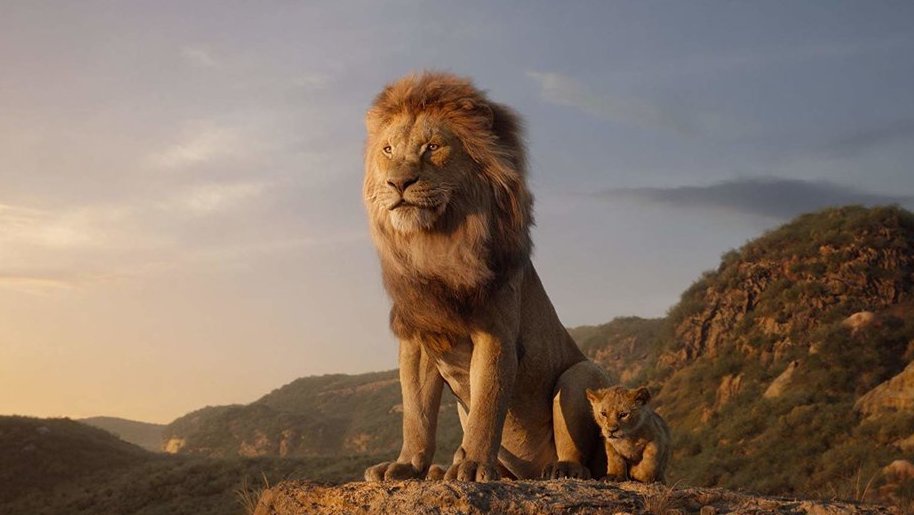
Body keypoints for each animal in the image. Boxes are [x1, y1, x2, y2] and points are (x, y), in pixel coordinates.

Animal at [361, 71, 613, 482]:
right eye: (387, 150)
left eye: (432, 147)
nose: (398, 183)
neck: (435, 244)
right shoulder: (418, 337)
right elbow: (416, 414)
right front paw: (407, 465)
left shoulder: (495, 332)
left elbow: (487, 405)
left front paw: (474, 465)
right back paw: (442, 470)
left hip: (581, 374)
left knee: (581, 454)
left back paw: (561, 469)